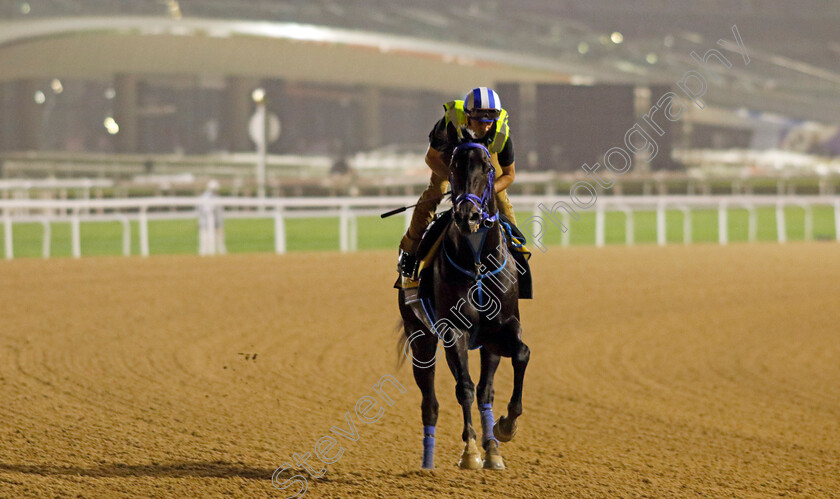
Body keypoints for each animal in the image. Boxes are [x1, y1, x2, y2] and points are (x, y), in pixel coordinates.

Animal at [398, 142, 528, 472]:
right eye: (455, 165)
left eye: (488, 167)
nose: (468, 216)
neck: (478, 261)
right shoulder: (452, 330)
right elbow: (464, 388)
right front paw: (470, 451)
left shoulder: (503, 327)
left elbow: (520, 354)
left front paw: (506, 427)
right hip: (420, 338)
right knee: (430, 402)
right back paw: (428, 460)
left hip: (487, 344)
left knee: (486, 390)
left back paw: (493, 450)